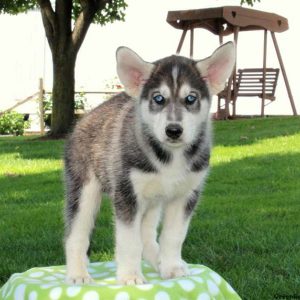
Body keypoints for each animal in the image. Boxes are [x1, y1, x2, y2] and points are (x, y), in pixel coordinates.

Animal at [64, 41, 236, 284]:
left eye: (191, 98)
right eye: (158, 99)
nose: (173, 130)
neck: (170, 158)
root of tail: (84, 118)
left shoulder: (186, 195)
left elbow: (173, 236)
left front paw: (172, 267)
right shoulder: (127, 195)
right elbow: (129, 241)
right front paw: (130, 276)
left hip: (152, 201)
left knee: (147, 238)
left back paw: (160, 262)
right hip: (84, 192)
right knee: (76, 235)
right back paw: (78, 273)